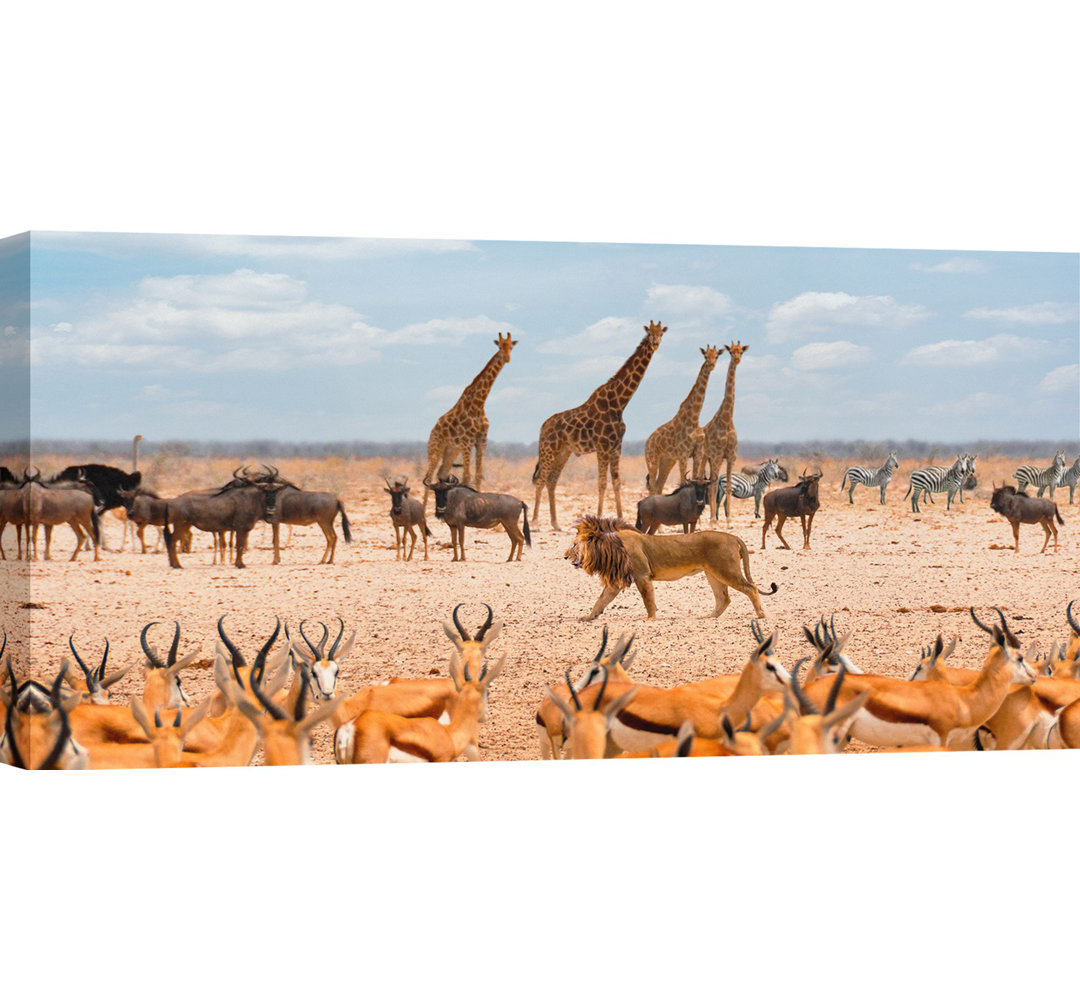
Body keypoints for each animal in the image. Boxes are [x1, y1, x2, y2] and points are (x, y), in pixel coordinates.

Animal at [421, 334, 518, 509]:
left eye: (511, 347)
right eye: (500, 346)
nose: (507, 358)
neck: (479, 404)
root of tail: (433, 430)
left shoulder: (481, 440)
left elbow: (478, 475)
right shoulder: (467, 441)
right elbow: (467, 476)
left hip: (451, 451)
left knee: (441, 474)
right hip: (435, 448)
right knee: (429, 476)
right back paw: (423, 512)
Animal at [533, 321, 665, 531]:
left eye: (661, 333)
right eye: (649, 333)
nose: (655, 343)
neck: (619, 403)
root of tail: (542, 427)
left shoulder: (616, 446)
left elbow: (617, 482)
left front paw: (621, 518)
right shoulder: (602, 446)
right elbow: (602, 483)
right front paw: (600, 517)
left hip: (563, 452)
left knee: (552, 480)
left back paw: (555, 523)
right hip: (548, 449)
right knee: (540, 480)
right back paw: (536, 523)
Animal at [565, 520, 777, 622]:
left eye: (574, 544)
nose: (565, 556)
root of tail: (733, 536)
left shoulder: (642, 575)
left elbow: (648, 599)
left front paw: (650, 619)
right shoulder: (616, 583)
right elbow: (601, 600)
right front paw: (589, 617)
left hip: (726, 570)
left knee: (751, 588)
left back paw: (760, 614)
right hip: (713, 574)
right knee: (724, 598)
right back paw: (710, 616)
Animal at [643, 345, 721, 494]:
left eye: (717, 356)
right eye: (705, 356)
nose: (712, 365)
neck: (694, 418)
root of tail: (648, 441)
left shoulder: (697, 453)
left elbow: (696, 478)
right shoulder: (683, 454)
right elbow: (684, 482)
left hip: (667, 460)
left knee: (659, 486)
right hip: (652, 459)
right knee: (653, 487)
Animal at [695, 341, 747, 524]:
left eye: (741, 352)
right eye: (731, 352)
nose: (737, 359)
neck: (726, 420)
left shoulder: (731, 456)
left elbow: (730, 485)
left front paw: (729, 520)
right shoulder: (717, 455)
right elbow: (713, 485)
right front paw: (713, 520)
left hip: (711, 459)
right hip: (705, 456)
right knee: (702, 479)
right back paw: (706, 519)